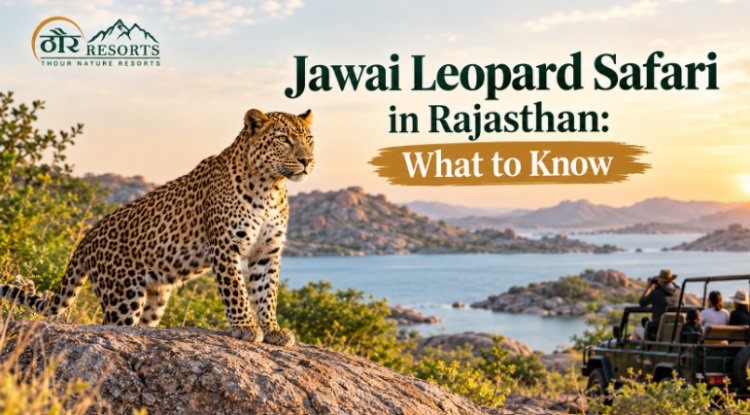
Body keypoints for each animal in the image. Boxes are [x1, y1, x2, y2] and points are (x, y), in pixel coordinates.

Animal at [0, 108, 314, 347]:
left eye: (309, 139)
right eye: (283, 139)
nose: (307, 160)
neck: (271, 187)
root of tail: (88, 236)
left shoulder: (267, 250)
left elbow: (267, 292)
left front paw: (273, 329)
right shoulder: (225, 246)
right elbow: (236, 290)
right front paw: (245, 326)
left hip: (155, 296)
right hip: (123, 296)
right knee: (110, 325)